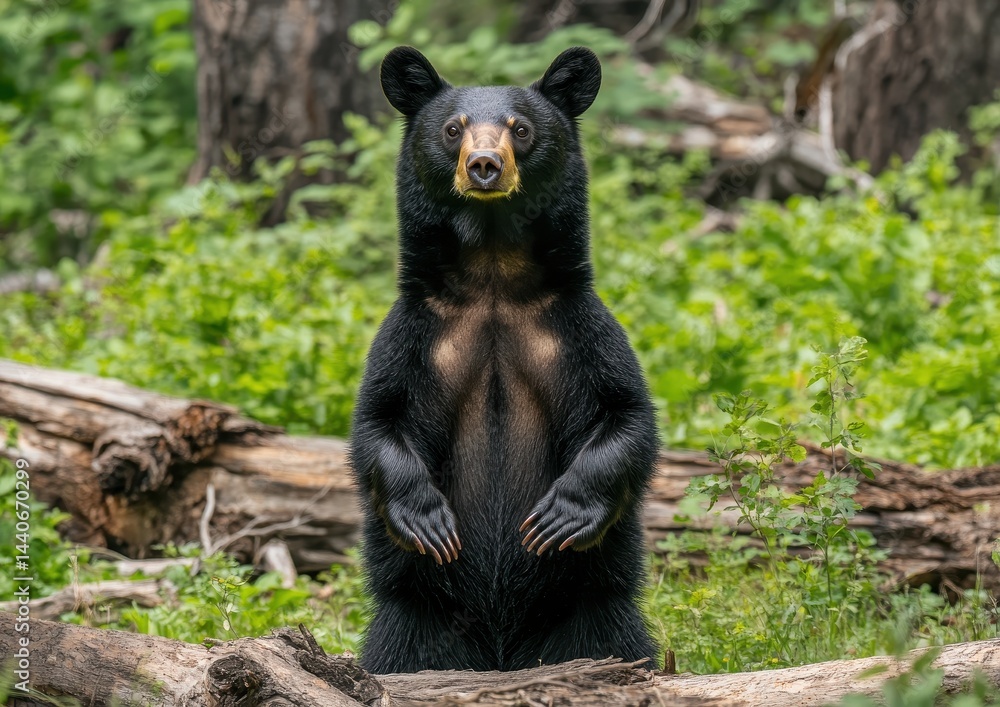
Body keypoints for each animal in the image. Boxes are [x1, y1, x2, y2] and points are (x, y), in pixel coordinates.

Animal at [349, 45, 660, 673]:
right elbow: (377, 421)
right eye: (452, 129)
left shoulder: (576, 327)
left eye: (521, 128)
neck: (493, 275)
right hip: (417, 624)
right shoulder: (416, 333)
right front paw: (428, 519)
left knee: (616, 645)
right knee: (396, 655)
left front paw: (561, 515)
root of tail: (500, 651)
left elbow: (627, 414)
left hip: (589, 619)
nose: (485, 165)